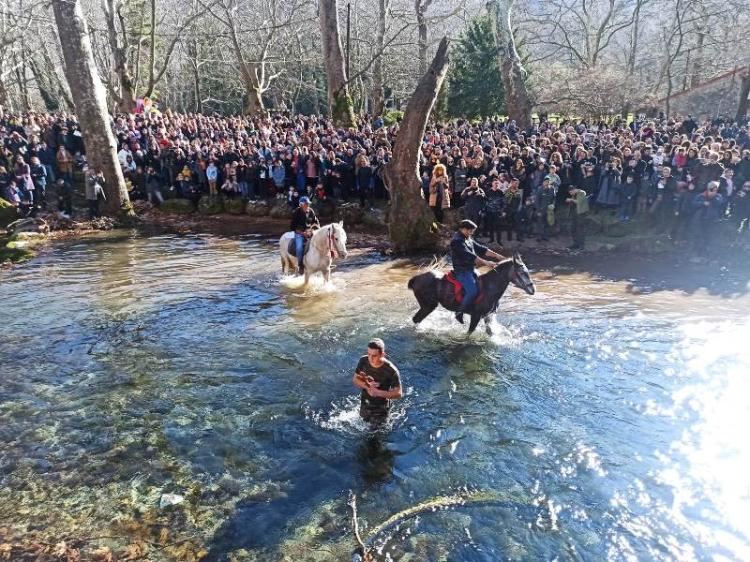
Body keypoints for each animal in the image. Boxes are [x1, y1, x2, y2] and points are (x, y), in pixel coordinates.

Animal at [408, 253, 536, 332]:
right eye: (522, 272)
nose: (532, 290)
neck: (489, 287)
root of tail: (416, 279)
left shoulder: (487, 316)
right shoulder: (476, 316)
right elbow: (469, 333)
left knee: (416, 319)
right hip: (428, 306)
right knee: (416, 319)